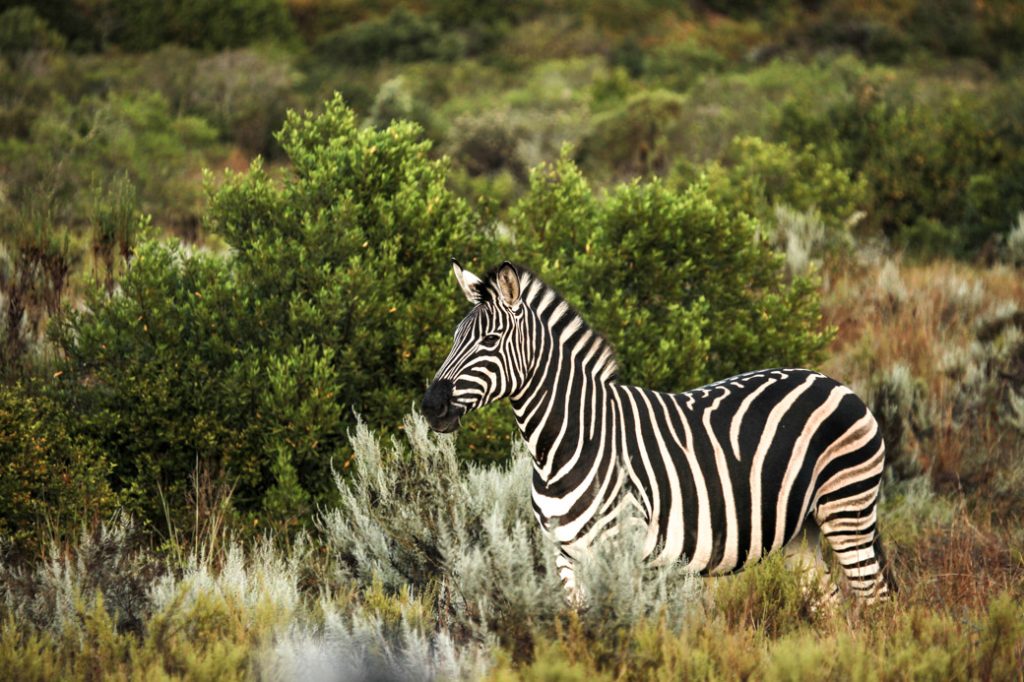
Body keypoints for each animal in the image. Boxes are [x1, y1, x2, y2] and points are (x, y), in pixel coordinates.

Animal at [422, 260, 894, 603]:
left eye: (490, 340)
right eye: (454, 337)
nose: (430, 406)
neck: (566, 444)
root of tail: (833, 381)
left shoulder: (622, 550)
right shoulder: (566, 555)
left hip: (846, 508)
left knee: (874, 600)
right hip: (800, 531)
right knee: (830, 604)